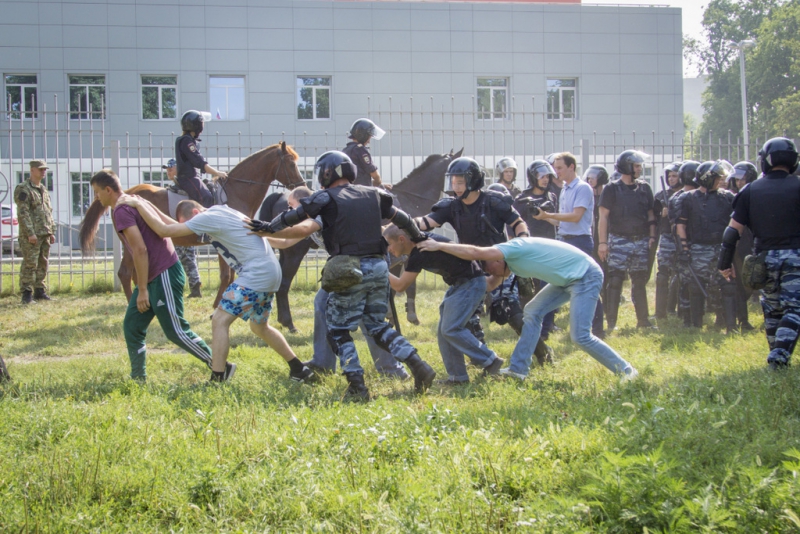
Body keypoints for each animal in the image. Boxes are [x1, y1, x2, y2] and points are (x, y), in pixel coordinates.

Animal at [79, 141, 305, 309]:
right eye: (290, 162)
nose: (301, 185)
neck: (235, 191)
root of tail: (124, 194)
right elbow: (226, 275)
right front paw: (217, 304)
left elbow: (230, 275)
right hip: (130, 243)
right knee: (125, 273)